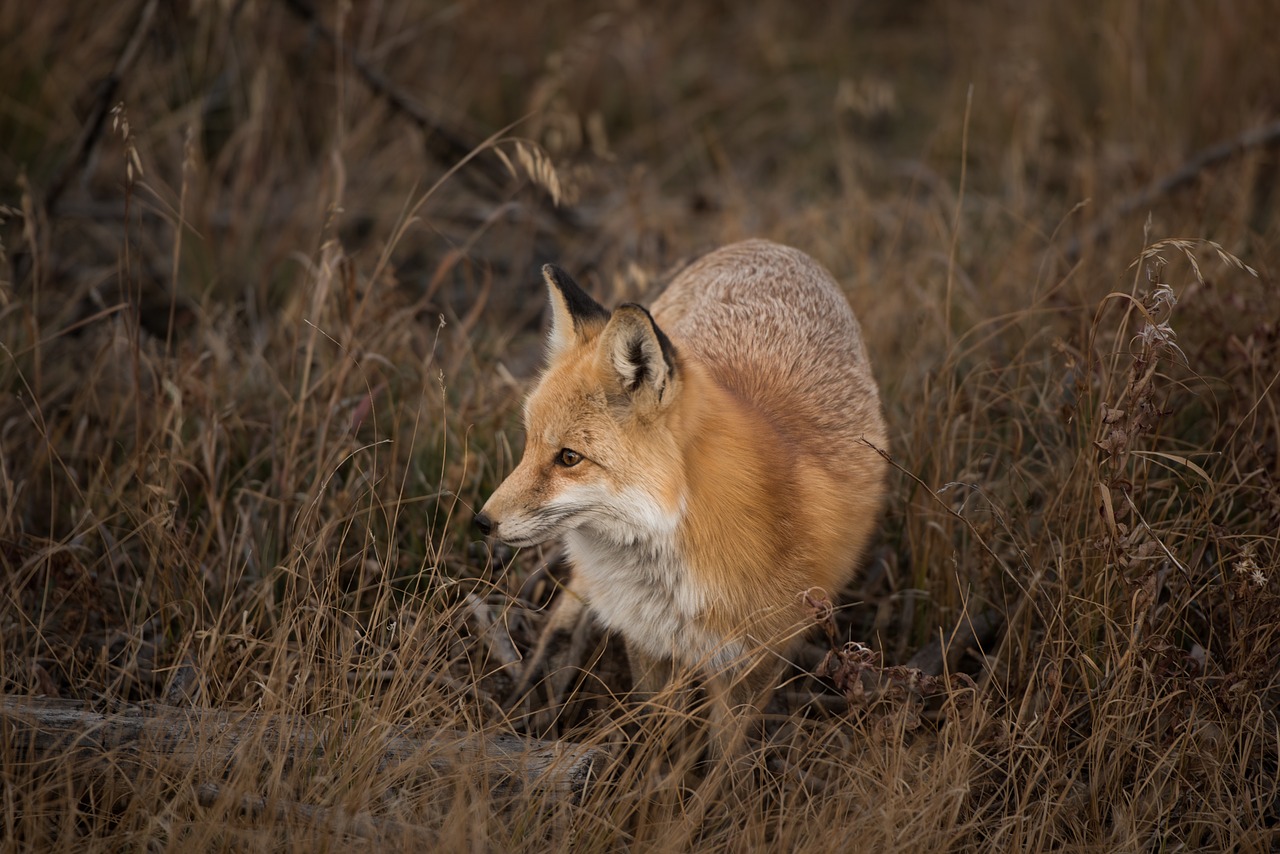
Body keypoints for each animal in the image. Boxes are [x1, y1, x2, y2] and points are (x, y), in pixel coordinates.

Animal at [476, 236, 885, 752]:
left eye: (569, 458)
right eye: (529, 443)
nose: (482, 522)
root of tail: (768, 244)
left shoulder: (756, 656)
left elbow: (725, 759)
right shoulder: (647, 639)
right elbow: (658, 734)